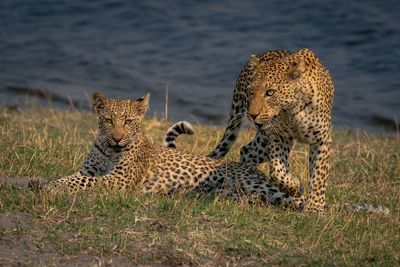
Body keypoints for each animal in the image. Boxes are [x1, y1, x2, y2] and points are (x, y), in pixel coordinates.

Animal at [45, 93, 390, 215]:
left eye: (128, 122)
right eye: (108, 121)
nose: (117, 138)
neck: (107, 149)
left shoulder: (117, 180)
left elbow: (84, 184)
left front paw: (49, 186)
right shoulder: (90, 169)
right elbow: (76, 178)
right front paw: (43, 182)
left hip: (261, 185)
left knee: (301, 201)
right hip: (234, 191)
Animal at [208, 49, 336, 215]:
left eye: (270, 92)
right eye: (251, 91)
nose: (252, 114)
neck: (293, 110)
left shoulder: (321, 138)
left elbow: (318, 175)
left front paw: (314, 208)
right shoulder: (277, 136)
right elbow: (278, 172)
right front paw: (296, 187)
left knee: (247, 151)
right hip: (264, 138)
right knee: (246, 151)